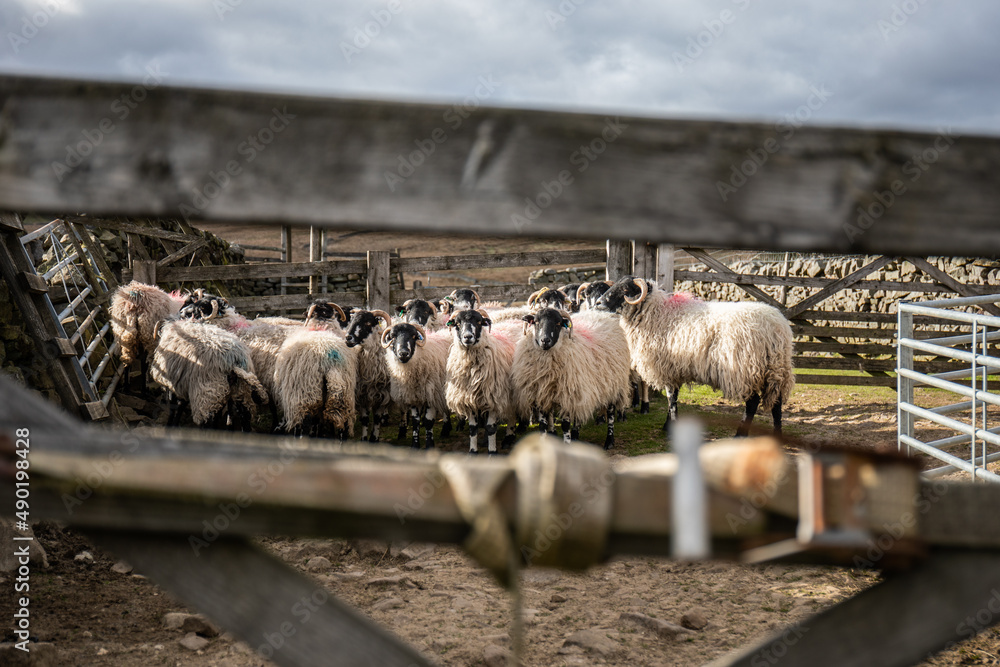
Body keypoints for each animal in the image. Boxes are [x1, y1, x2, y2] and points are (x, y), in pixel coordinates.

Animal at [342, 310, 392, 444]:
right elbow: (365, 419)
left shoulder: (383, 395)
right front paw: (364, 439)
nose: (348, 338)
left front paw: (374, 438)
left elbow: (377, 418)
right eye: (352, 319)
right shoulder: (362, 394)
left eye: (368, 322)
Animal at [448, 308, 520, 454]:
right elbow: (473, 429)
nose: (468, 337)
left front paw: (492, 452)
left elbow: (491, 427)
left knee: (511, 414)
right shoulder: (469, 400)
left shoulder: (494, 398)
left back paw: (508, 438)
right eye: (457, 323)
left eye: (479, 321)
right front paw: (473, 451)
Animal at [512, 308, 628, 448]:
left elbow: (565, 424)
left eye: (558, 323)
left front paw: (567, 443)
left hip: (613, 384)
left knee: (611, 413)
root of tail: (603, 313)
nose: (545, 340)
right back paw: (576, 436)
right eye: (536, 321)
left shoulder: (566, 395)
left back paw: (609, 441)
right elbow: (542, 425)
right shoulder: (542, 395)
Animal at [592, 276, 796, 438]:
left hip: (746, 369)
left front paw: (671, 428)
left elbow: (671, 399)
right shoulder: (675, 368)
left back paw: (740, 435)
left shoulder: (667, 367)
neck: (655, 313)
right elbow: (673, 398)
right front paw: (667, 425)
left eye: (626, 289)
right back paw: (778, 435)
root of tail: (777, 328)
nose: (598, 303)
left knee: (752, 402)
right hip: (775, 369)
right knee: (777, 403)